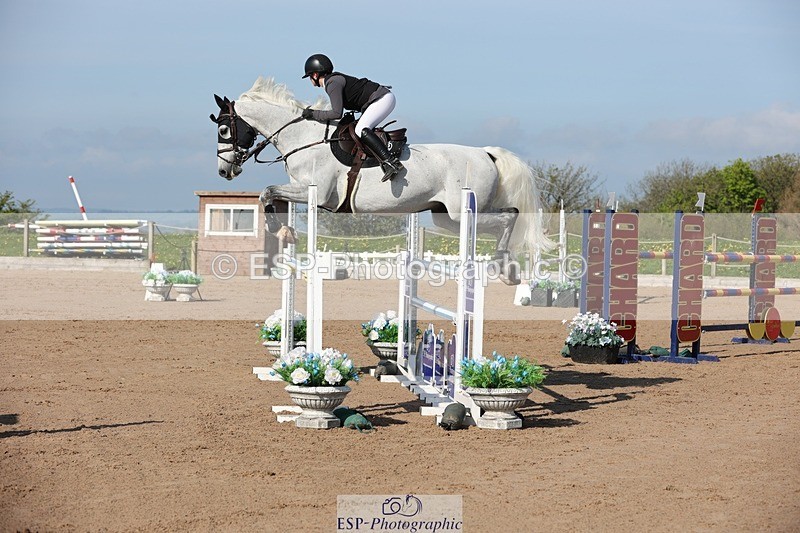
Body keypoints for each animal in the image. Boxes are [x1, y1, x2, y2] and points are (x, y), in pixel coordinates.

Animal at [210, 77, 551, 284]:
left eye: (224, 129)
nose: (225, 172)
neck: (302, 137)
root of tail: (486, 153)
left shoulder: (315, 194)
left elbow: (267, 192)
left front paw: (279, 229)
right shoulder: (301, 191)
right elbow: (270, 195)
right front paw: (284, 231)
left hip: (460, 212)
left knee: (510, 215)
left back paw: (504, 266)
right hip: (445, 217)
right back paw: (508, 269)